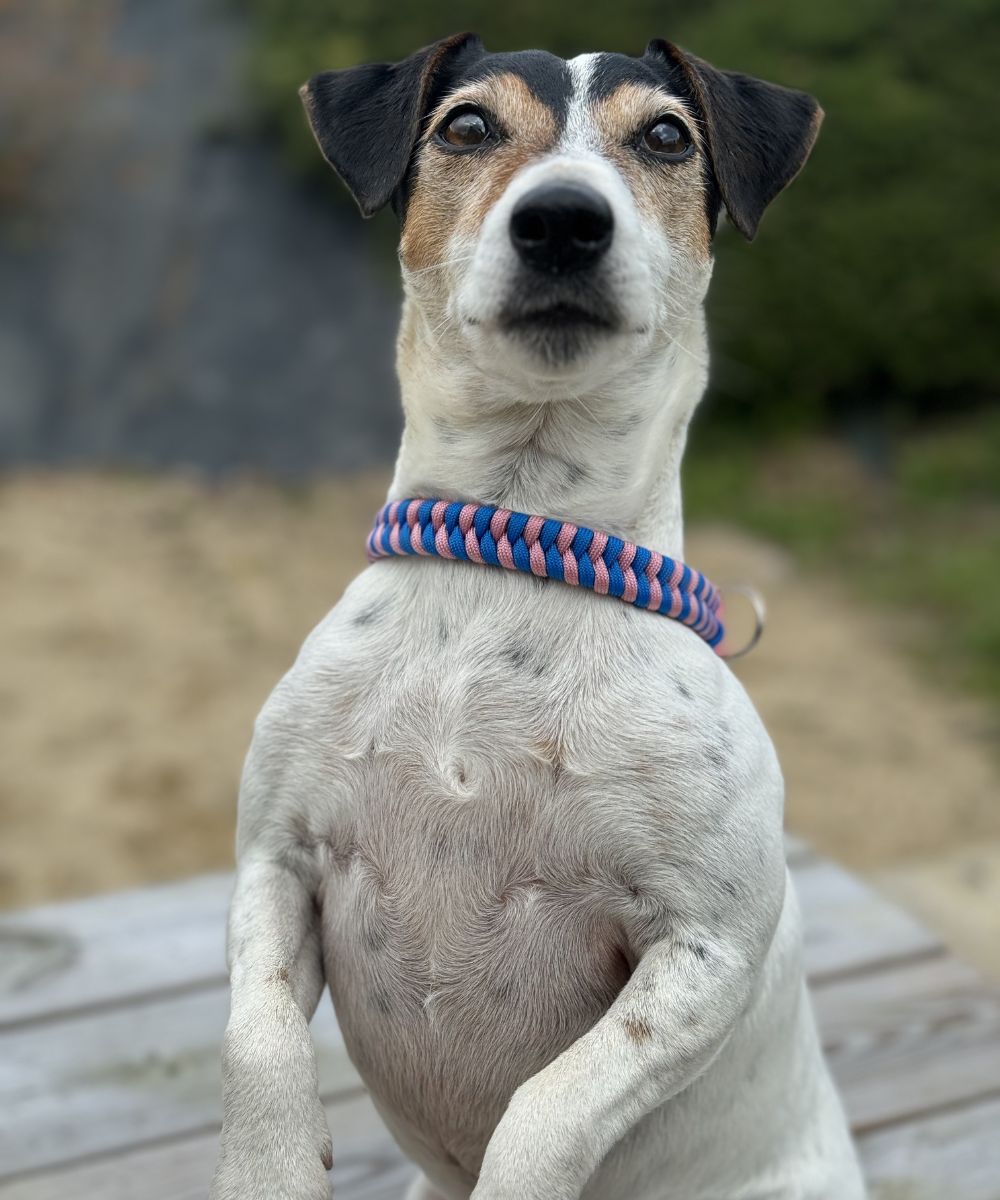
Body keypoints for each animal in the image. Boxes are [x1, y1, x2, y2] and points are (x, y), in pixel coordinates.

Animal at [208, 32, 864, 1195]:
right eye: (466, 126)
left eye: (666, 136)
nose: (562, 217)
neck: (509, 552)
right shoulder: (273, 863)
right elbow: (259, 1044)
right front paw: (266, 1169)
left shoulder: (703, 952)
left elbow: (544, 1110)